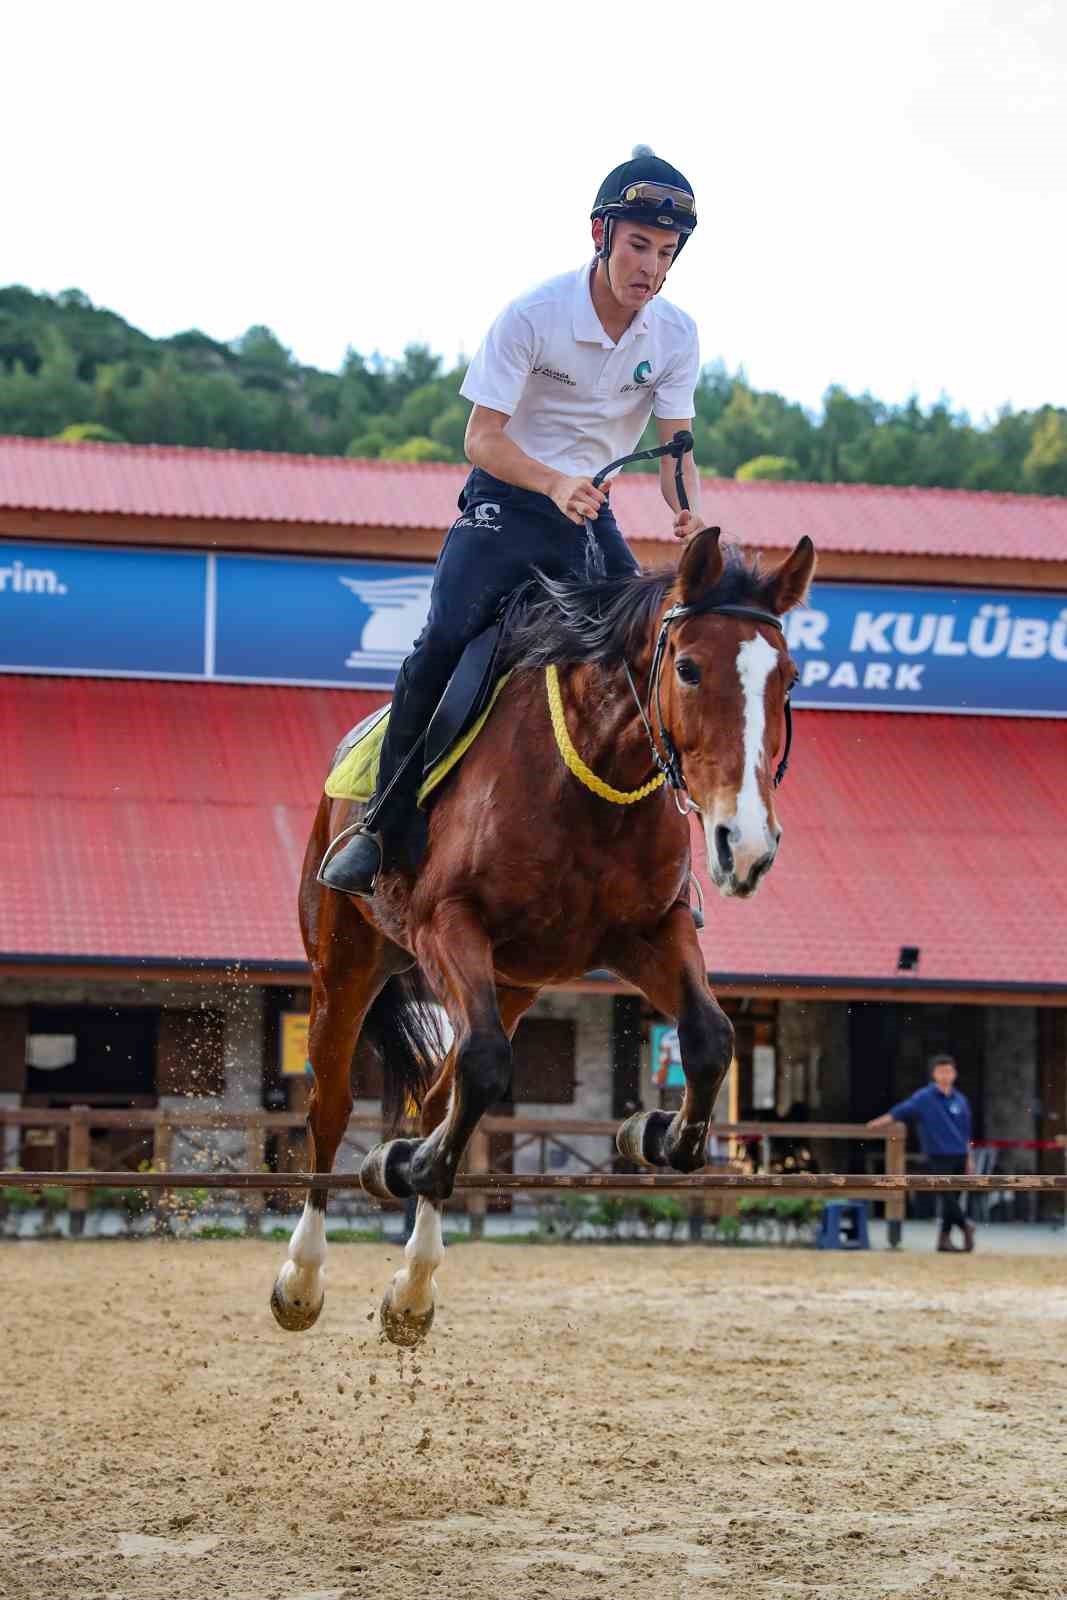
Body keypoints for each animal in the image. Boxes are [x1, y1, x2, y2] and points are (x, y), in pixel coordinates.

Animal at [271, 521, 812, 1337]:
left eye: (790, 680)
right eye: (687, 668)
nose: (743, 845)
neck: (589, 774)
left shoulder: (649, 932)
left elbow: (710, 1040)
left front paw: (654, 1133)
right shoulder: (448, 922)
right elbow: (485, 1063)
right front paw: (411, 1164)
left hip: (514, 981)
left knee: (443, 1092)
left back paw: (413, 1282)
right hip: (345, 962)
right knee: (333, 1105)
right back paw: (304, 1275)